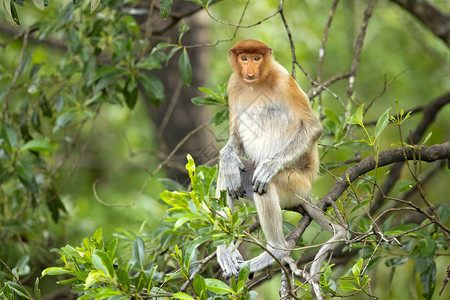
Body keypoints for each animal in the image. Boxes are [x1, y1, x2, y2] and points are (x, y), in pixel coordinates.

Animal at [216, 39, 346, 286]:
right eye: (244, 58)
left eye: (257, 58)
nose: (250, 72)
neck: (256, 85)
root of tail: (307, 188)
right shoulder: (233, 84)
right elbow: (235, 137)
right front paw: (226, 156)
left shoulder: (283, 79)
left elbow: (312, 127)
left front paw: (269, 166)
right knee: (229, 175)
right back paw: (226, 251)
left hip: (295, 182)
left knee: (265, 186)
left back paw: (277, 251)